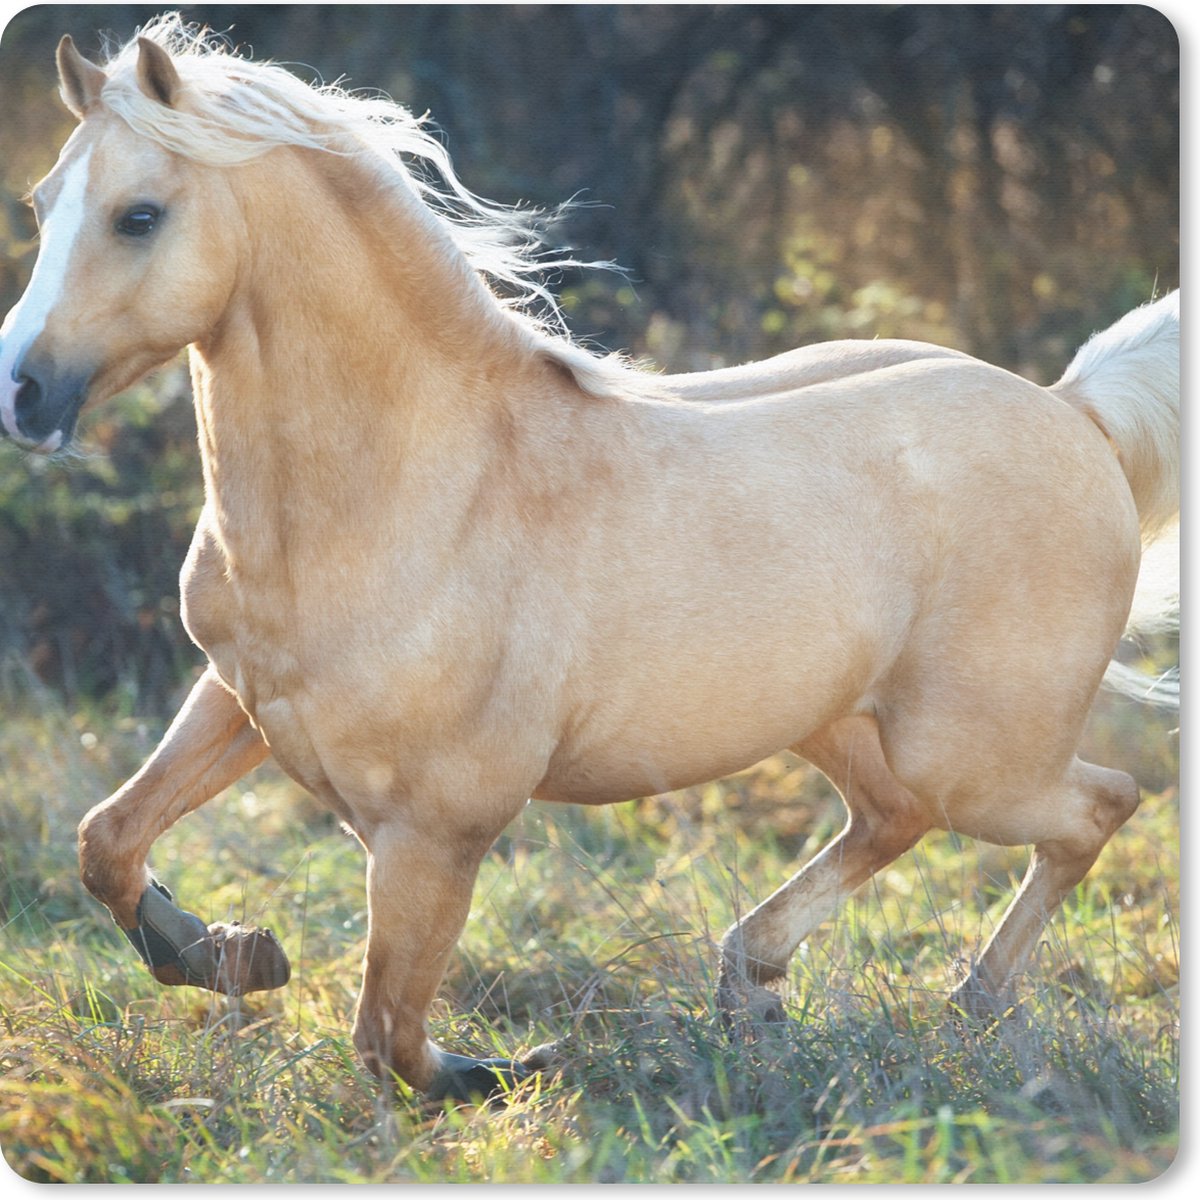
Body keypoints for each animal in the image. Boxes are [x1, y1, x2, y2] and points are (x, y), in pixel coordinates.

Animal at [0, 17, 1179, 1102]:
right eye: (42, 204)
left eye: (139, 215)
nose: (24, 393)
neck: (412, 490)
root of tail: (1075, 415)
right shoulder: (240, 698)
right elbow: (107, 841)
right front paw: (229, 951)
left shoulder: (437, 826)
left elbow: (391, 1040)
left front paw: (503, 1067)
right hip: (836, 720)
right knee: (897, 817)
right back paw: (754, 983)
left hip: (973, 755)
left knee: (1098, 805)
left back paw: (970, 1005)